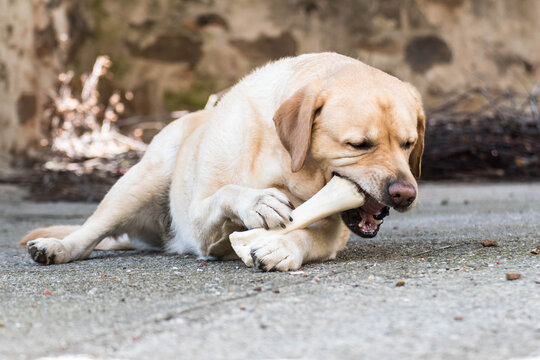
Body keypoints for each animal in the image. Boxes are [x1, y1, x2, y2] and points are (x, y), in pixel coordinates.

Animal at [21, 52, 424, 270]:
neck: (286, 165)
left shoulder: (330, 235)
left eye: (409, 144)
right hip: (137, 184)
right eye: (358, 144)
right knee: (90, 231)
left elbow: (304, 235)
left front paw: (280, 247)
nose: (404, 193)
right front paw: (257, 202)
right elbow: (226, 194)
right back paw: (57, 246)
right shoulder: (200, 224)